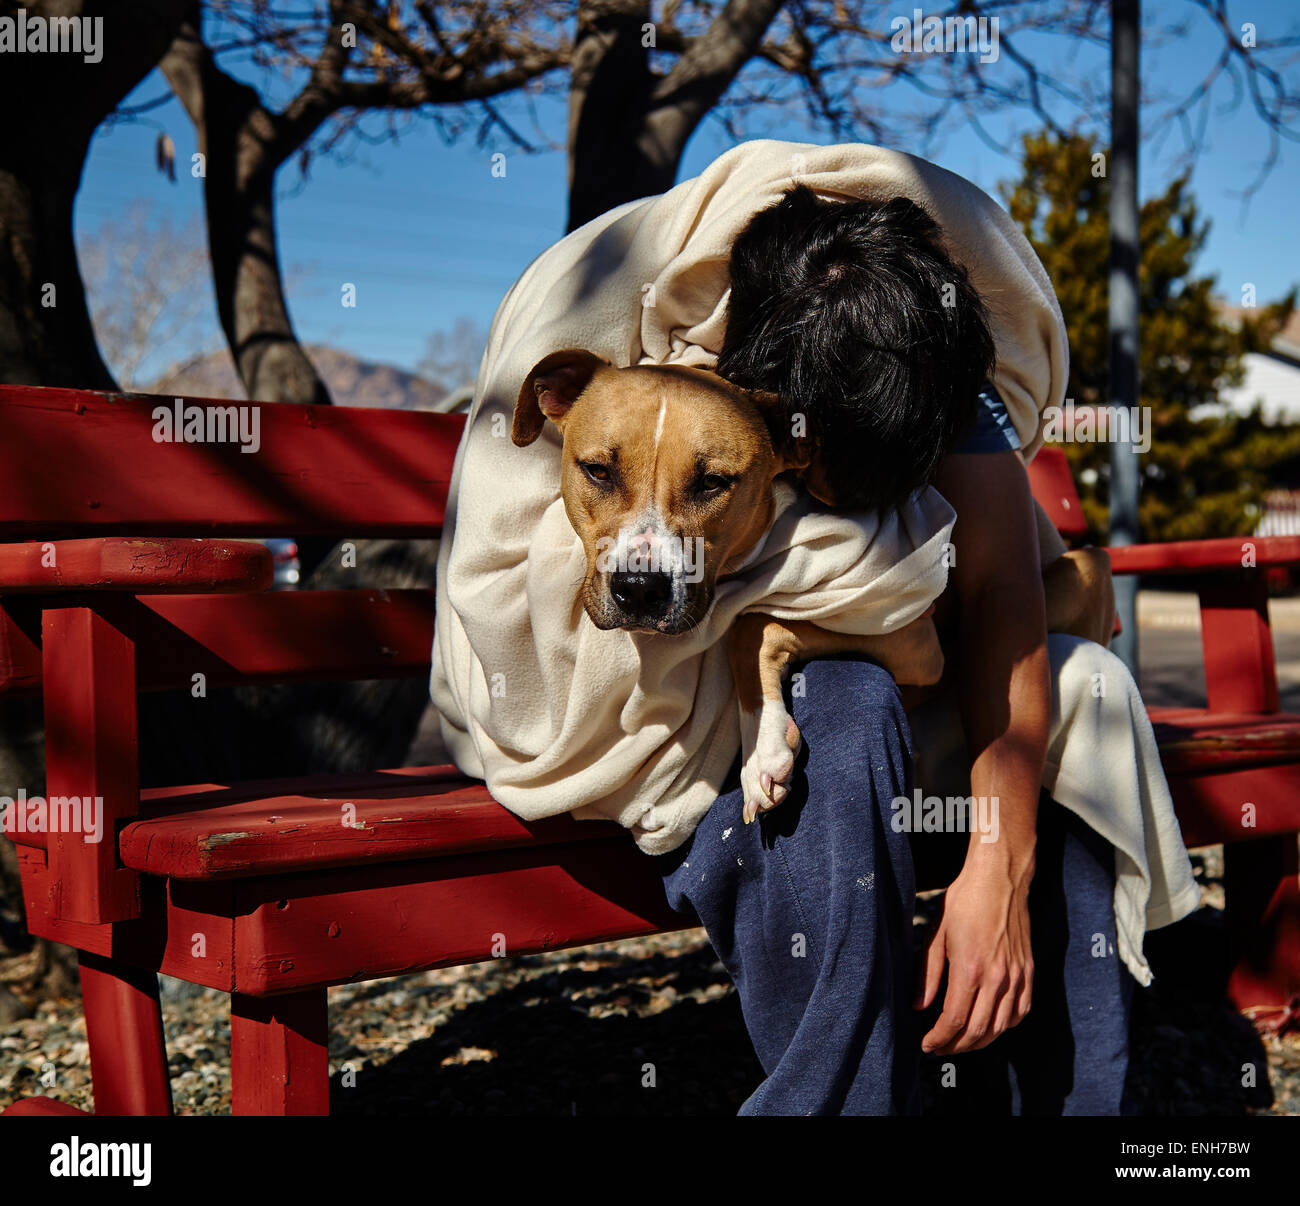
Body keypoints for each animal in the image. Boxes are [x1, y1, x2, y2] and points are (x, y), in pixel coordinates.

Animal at [512, 343, 1112, 826]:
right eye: (598, 471)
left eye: (713, 482)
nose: (639, 588)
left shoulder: (916, 641)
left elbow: (750, 624)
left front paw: (762, 748)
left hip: (1087, 567)